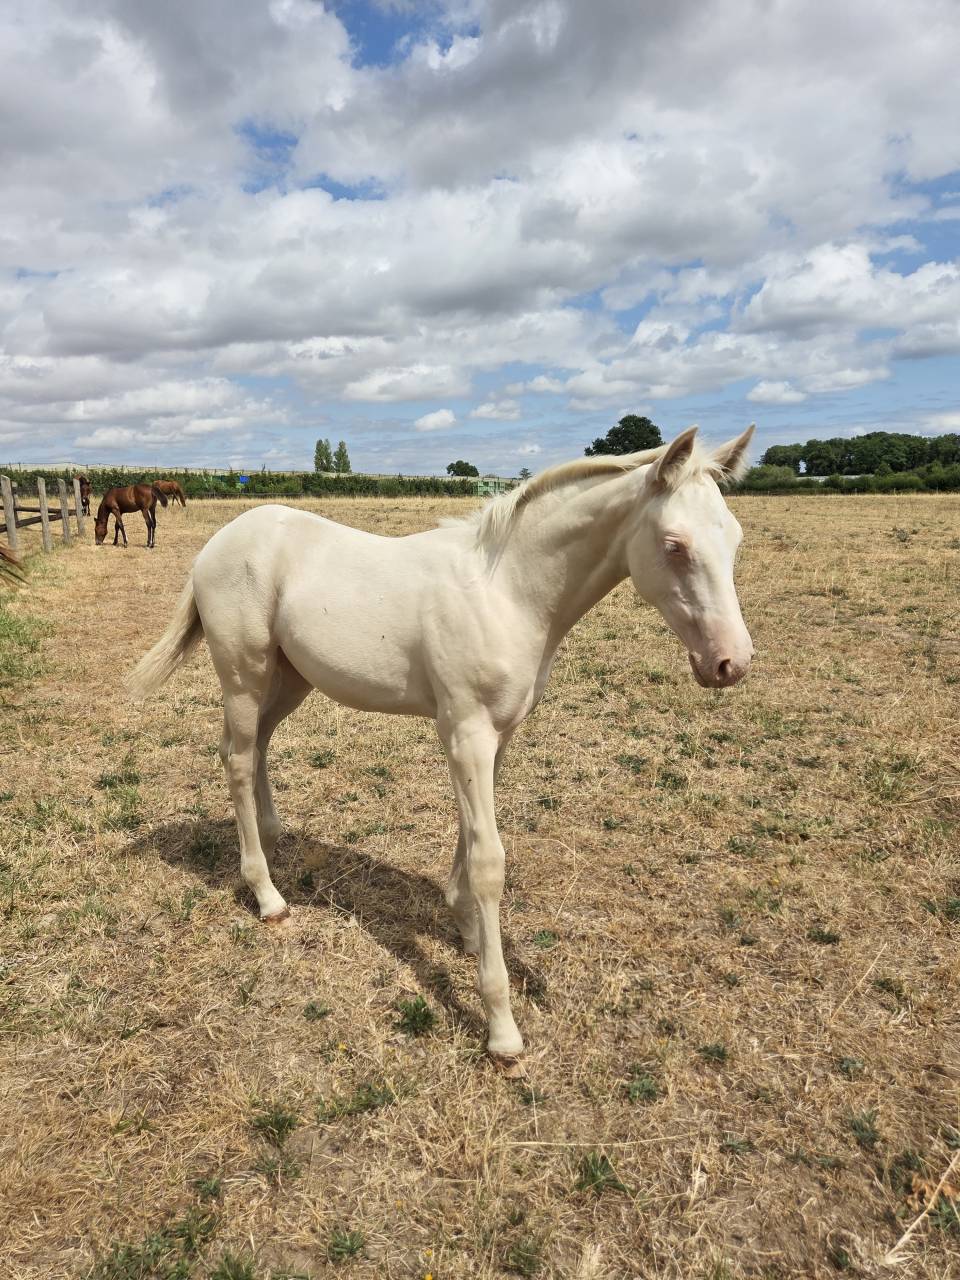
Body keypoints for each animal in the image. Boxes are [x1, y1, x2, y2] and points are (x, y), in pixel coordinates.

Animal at [128, 425, 755, 1061]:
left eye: (733, 536)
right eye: (675, 545)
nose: (730, 663)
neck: (507, 592)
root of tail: (218, 542)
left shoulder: (496, 735)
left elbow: (471, 835)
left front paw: (468, 928)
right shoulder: (466, 733)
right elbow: (488, 860)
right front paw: (501, 1025)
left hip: (291, 679)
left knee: (255, 746)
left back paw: (275, 839)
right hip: (243, 675)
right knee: (234, 757)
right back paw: (267, 896)